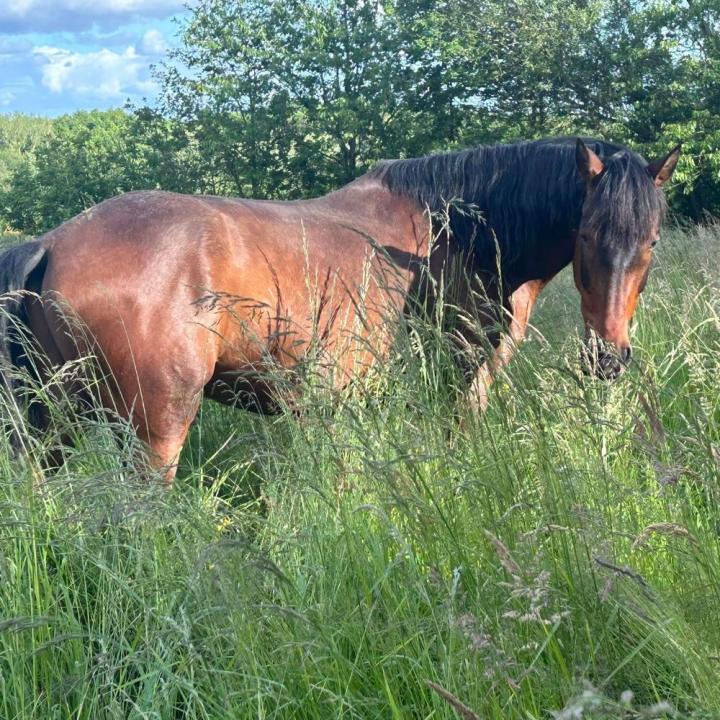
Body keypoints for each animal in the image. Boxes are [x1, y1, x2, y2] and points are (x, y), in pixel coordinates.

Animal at [0, 137, 680, 483]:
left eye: (651, 241)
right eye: (587, 233)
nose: (608, 358)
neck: (452, 230)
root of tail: (50, 243)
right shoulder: (463, 379)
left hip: (50, 424)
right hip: (154, 432)